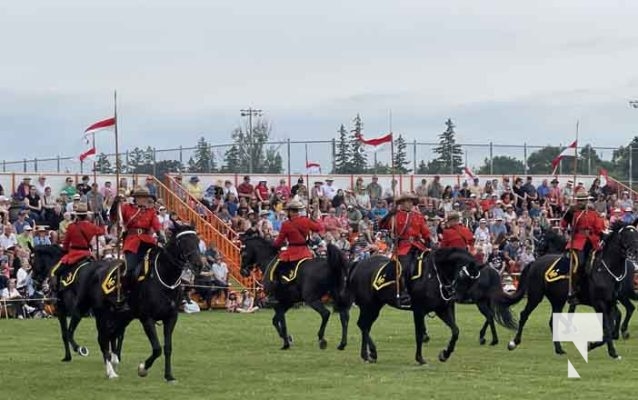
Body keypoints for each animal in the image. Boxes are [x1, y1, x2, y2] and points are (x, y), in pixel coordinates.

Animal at [348, 250, 512, 366]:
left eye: (473, 281)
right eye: (462, 276)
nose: (456, 296)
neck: (436, 275)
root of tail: (358, 264)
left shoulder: (442, 309)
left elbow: (455, 331)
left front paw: (445, 354)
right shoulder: (419, 311)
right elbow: (419, 334)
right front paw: (420, 358)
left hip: (375, 305)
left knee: (364, 325)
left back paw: (368, 354)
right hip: (369, 305)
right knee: (364, 325)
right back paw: (370, 353)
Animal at [508, 222, 638, 360]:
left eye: (636, 234)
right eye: (626, 235)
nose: (635, 251)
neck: (605, 270)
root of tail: (534, 263)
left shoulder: (609, 303)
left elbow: (608, 326)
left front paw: (594, 345)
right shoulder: (599, 304)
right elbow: (606, 327)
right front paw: (610, 351)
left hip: (557, 300)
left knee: (552, 321)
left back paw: (559, 349)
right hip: (536, 296)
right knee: (525, 315)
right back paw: (514, 342)